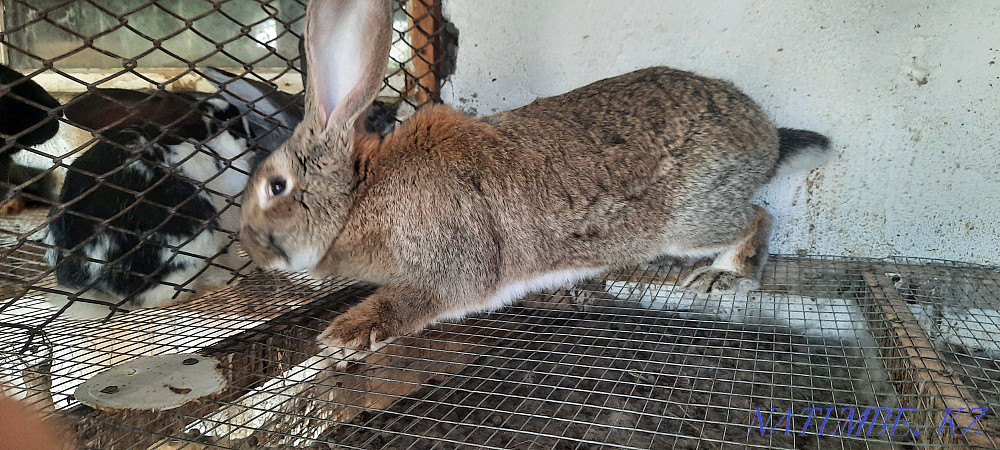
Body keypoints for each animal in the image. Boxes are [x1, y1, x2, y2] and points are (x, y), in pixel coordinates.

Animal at [237, 0, 832, 368]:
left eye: (276, 187)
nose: (249, 248)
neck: (360, 194)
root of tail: (766, 134)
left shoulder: (451, 268)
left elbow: (411, 302)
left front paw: (344, 335)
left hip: (692, 220)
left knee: (758, 215)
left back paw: (721, 277)